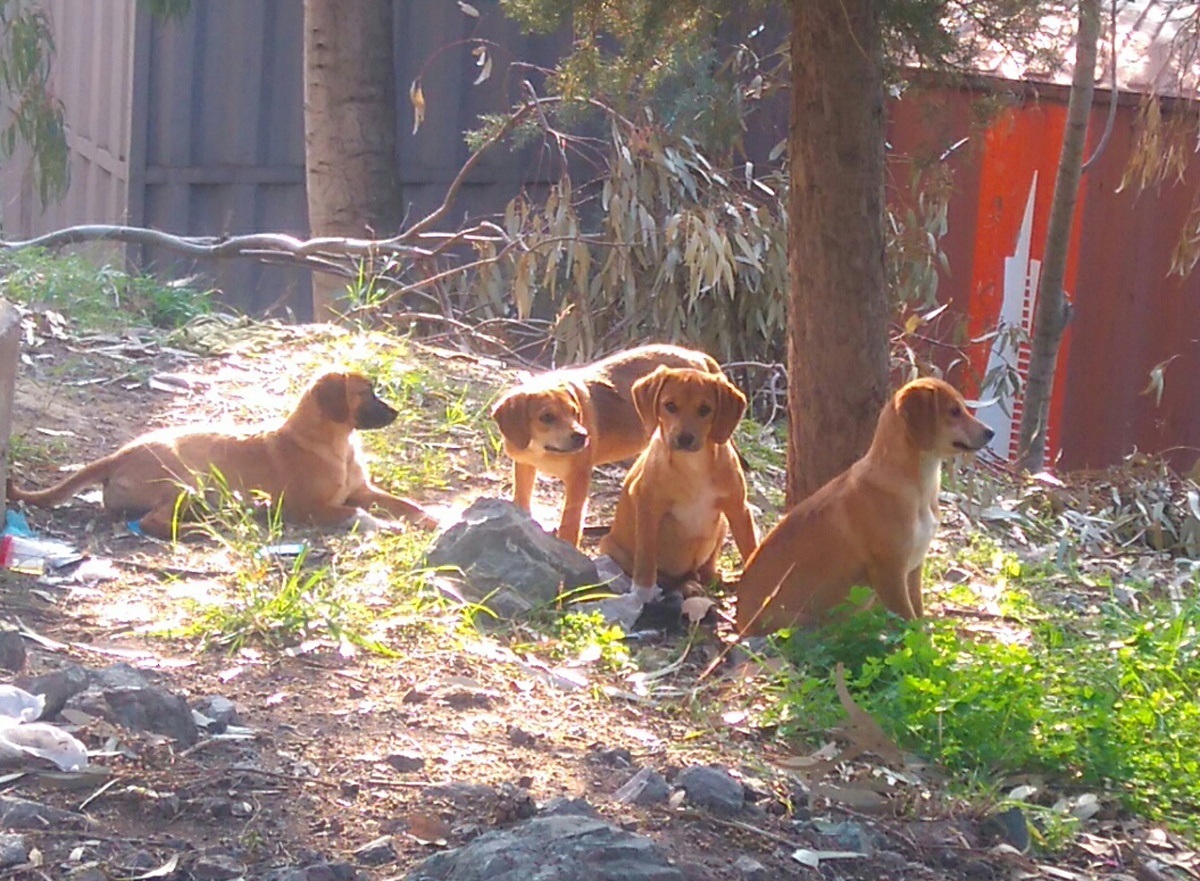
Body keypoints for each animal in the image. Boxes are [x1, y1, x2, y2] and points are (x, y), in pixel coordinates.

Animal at [9, 372, 436, 537]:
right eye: (366, 392)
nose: (397, 413)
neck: (337, 444)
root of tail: (116, 456)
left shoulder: (363, 490)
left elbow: (405, 504)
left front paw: (430, 518)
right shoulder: (307, 508)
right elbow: (357, 514)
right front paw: (385, 526)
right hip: (186, 480)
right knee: (152, 523)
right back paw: (200, 531)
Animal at [489, 345, 715, 549]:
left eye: (574, 412)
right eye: (546, 417)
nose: (582, 436)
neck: (540, 451)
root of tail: (696, 355)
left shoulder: (578, 478)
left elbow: (570, 522)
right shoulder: (524, 465)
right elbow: (522, 500)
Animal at [600, 364, 758, 607]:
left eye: (705, 410)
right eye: (670, 406)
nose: (684, 438)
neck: (693, 465)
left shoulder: (738, 508)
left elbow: (750, 547)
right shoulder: (647, 506)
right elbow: (646, 557)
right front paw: (642, 592)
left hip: (721, 526)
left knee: (707, 572)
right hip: (610, 546)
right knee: (668, 578)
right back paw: (685, 587)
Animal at [734, 379, 988, 633]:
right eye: (954, 412)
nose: (991, 433)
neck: (919, 488)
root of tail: (740, 623)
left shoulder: (913, 568)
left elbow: (919, 614)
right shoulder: (889, 572)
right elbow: (909, 622)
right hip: (802, 622)